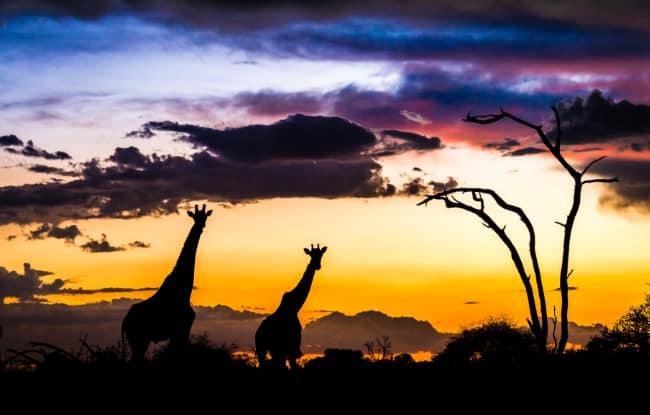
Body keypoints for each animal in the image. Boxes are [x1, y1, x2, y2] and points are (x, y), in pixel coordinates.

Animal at [121, 205, 213, 364]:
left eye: (205, 216)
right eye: (195, 217)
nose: (201, 225)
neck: (183, 288)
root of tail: (125, 321)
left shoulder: (179, 330)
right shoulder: (183, 327)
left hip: (138, 340)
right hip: (139, 339)